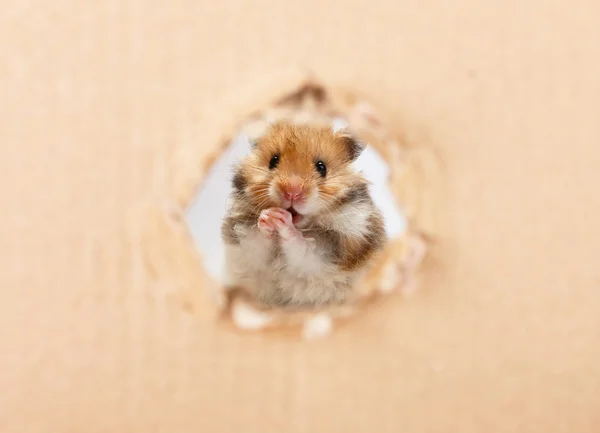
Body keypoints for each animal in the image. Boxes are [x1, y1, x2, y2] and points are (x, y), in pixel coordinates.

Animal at [220, 121, 384, 308]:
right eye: (273, 160)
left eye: (321, 167)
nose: (292, 192)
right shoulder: (244, 242)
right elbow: (256, 242)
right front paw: (269, 216)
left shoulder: (332, 251)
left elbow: (303, 248)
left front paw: (282, 220)